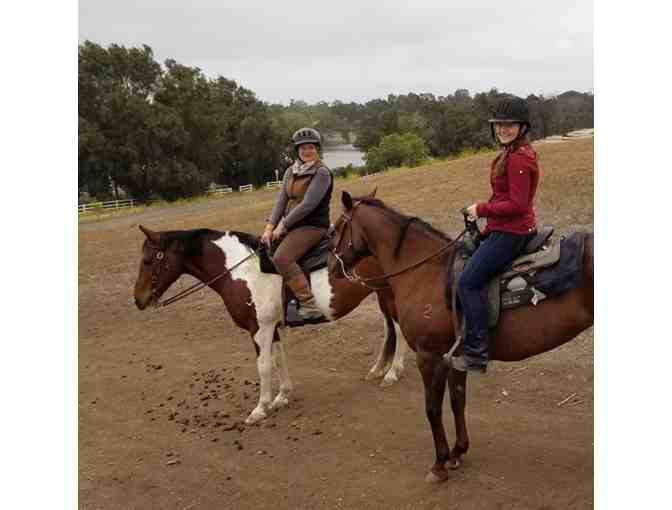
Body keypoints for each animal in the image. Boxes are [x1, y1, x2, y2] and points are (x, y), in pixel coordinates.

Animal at [133, 224, 407, 425]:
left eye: (148, 261)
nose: (138, 299)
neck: (241, 271)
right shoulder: (273, 328)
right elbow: (278, 359)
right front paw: (281, 397)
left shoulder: (260, 329)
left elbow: (263, 366)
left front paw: (260, 408)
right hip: (381, 294)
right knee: (389, 330)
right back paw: (379, 369)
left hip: (389, 295)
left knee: (399, 330)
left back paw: (392, 372)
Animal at [327, 191, 594, 482]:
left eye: (336, 228)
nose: (330, 268)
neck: (424, 272)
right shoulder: (455, 356)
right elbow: (457, 401)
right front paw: (457, 452)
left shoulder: (429, 355)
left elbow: (432, 408)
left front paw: (439, 463)